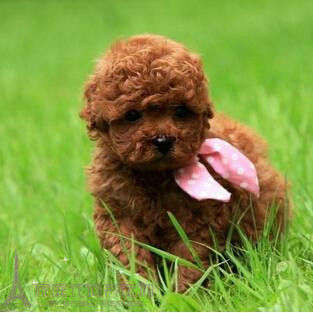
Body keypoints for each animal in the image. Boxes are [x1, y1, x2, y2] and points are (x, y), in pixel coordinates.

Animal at [80, 33, 288, 290]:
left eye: (180, 112)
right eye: (132, 115)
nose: (162, 141)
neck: (155, 176)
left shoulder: (199, 220)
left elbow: (189, 259)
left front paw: (186, 294)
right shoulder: (117, 213)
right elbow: (129, 255)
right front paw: (138, 292)